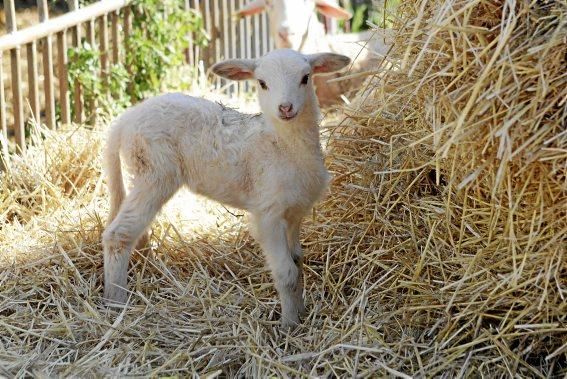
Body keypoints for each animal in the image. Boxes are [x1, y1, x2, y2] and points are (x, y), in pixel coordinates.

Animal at [102, 49, 350, 330]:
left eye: (305, 78)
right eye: (262, 83)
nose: (285, 108)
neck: (281, 145)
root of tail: (124, 121)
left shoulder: (295, 213)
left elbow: (297, 262)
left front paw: (300, 313)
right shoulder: (268, 214)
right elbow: (286, 273)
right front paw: (289, 326)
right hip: (153, 172)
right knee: (118, 234)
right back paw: (117, 303)